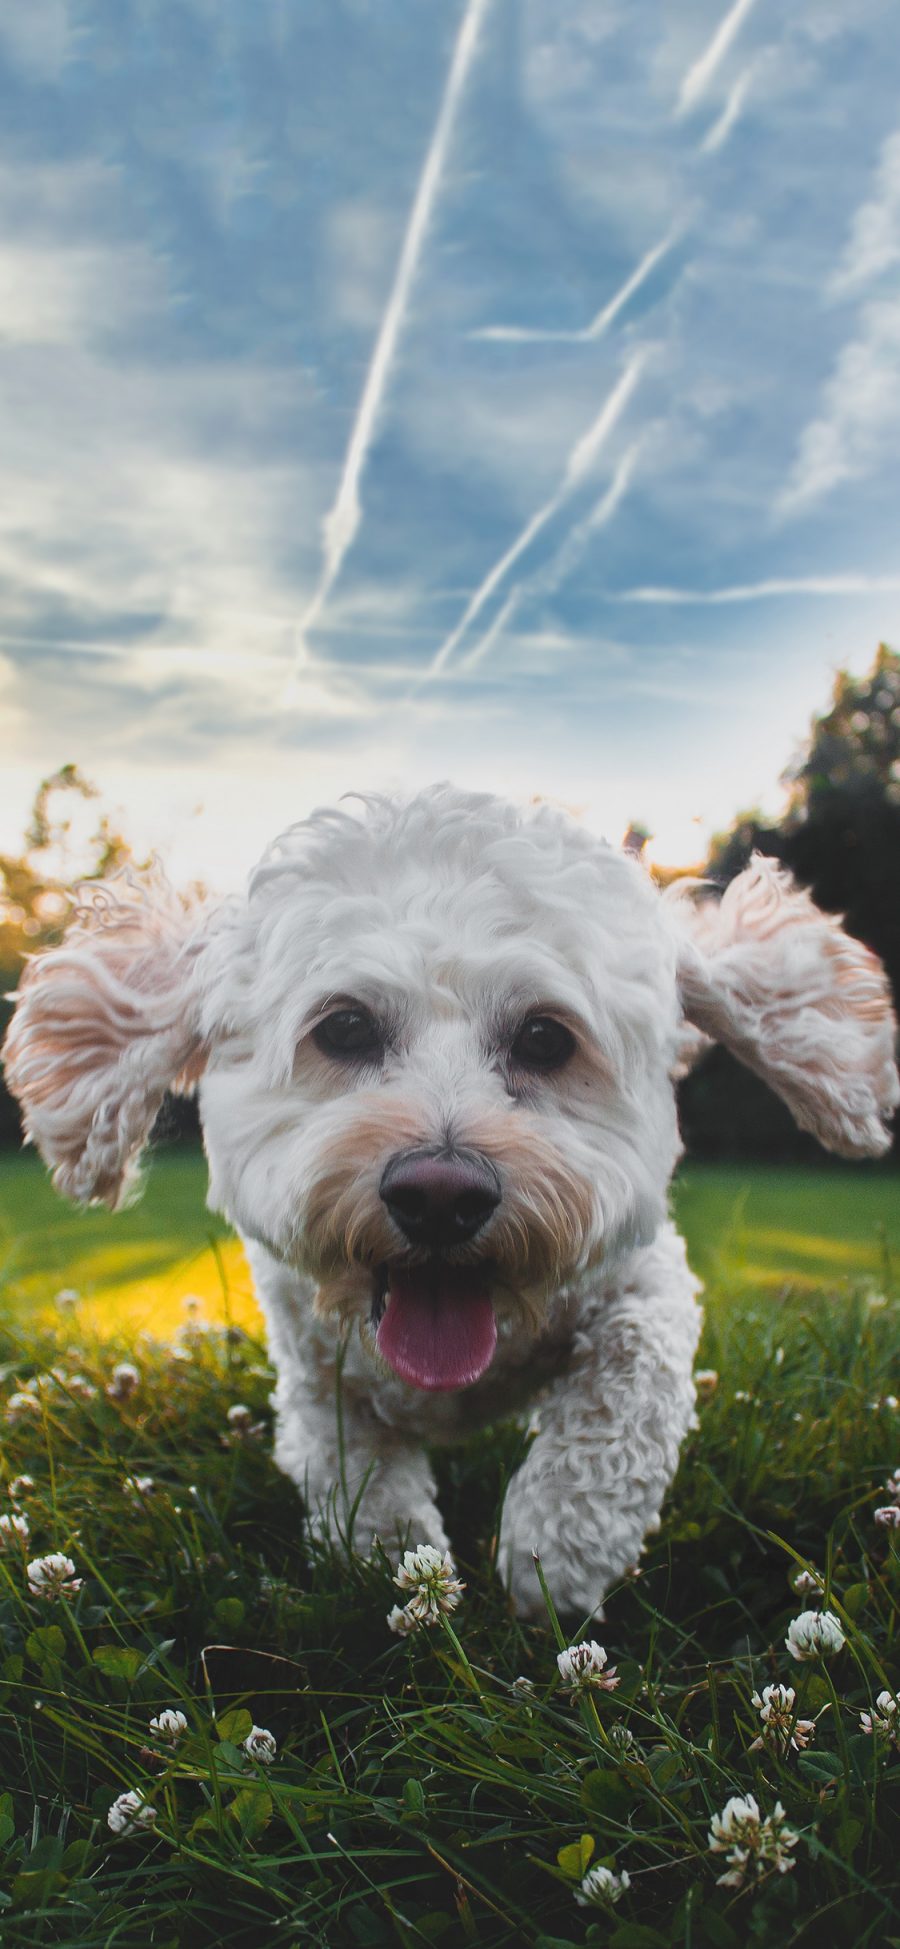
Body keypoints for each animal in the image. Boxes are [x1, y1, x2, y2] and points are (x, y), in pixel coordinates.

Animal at [3, 783, 896, 1621]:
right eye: (345, 1027)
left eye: (545, 1037)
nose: (441, 1194)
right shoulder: (308, 1358)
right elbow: (352, 1462)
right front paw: (394, 1556)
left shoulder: (644, 1277)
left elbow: (627, 1386)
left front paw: (556, 1546)